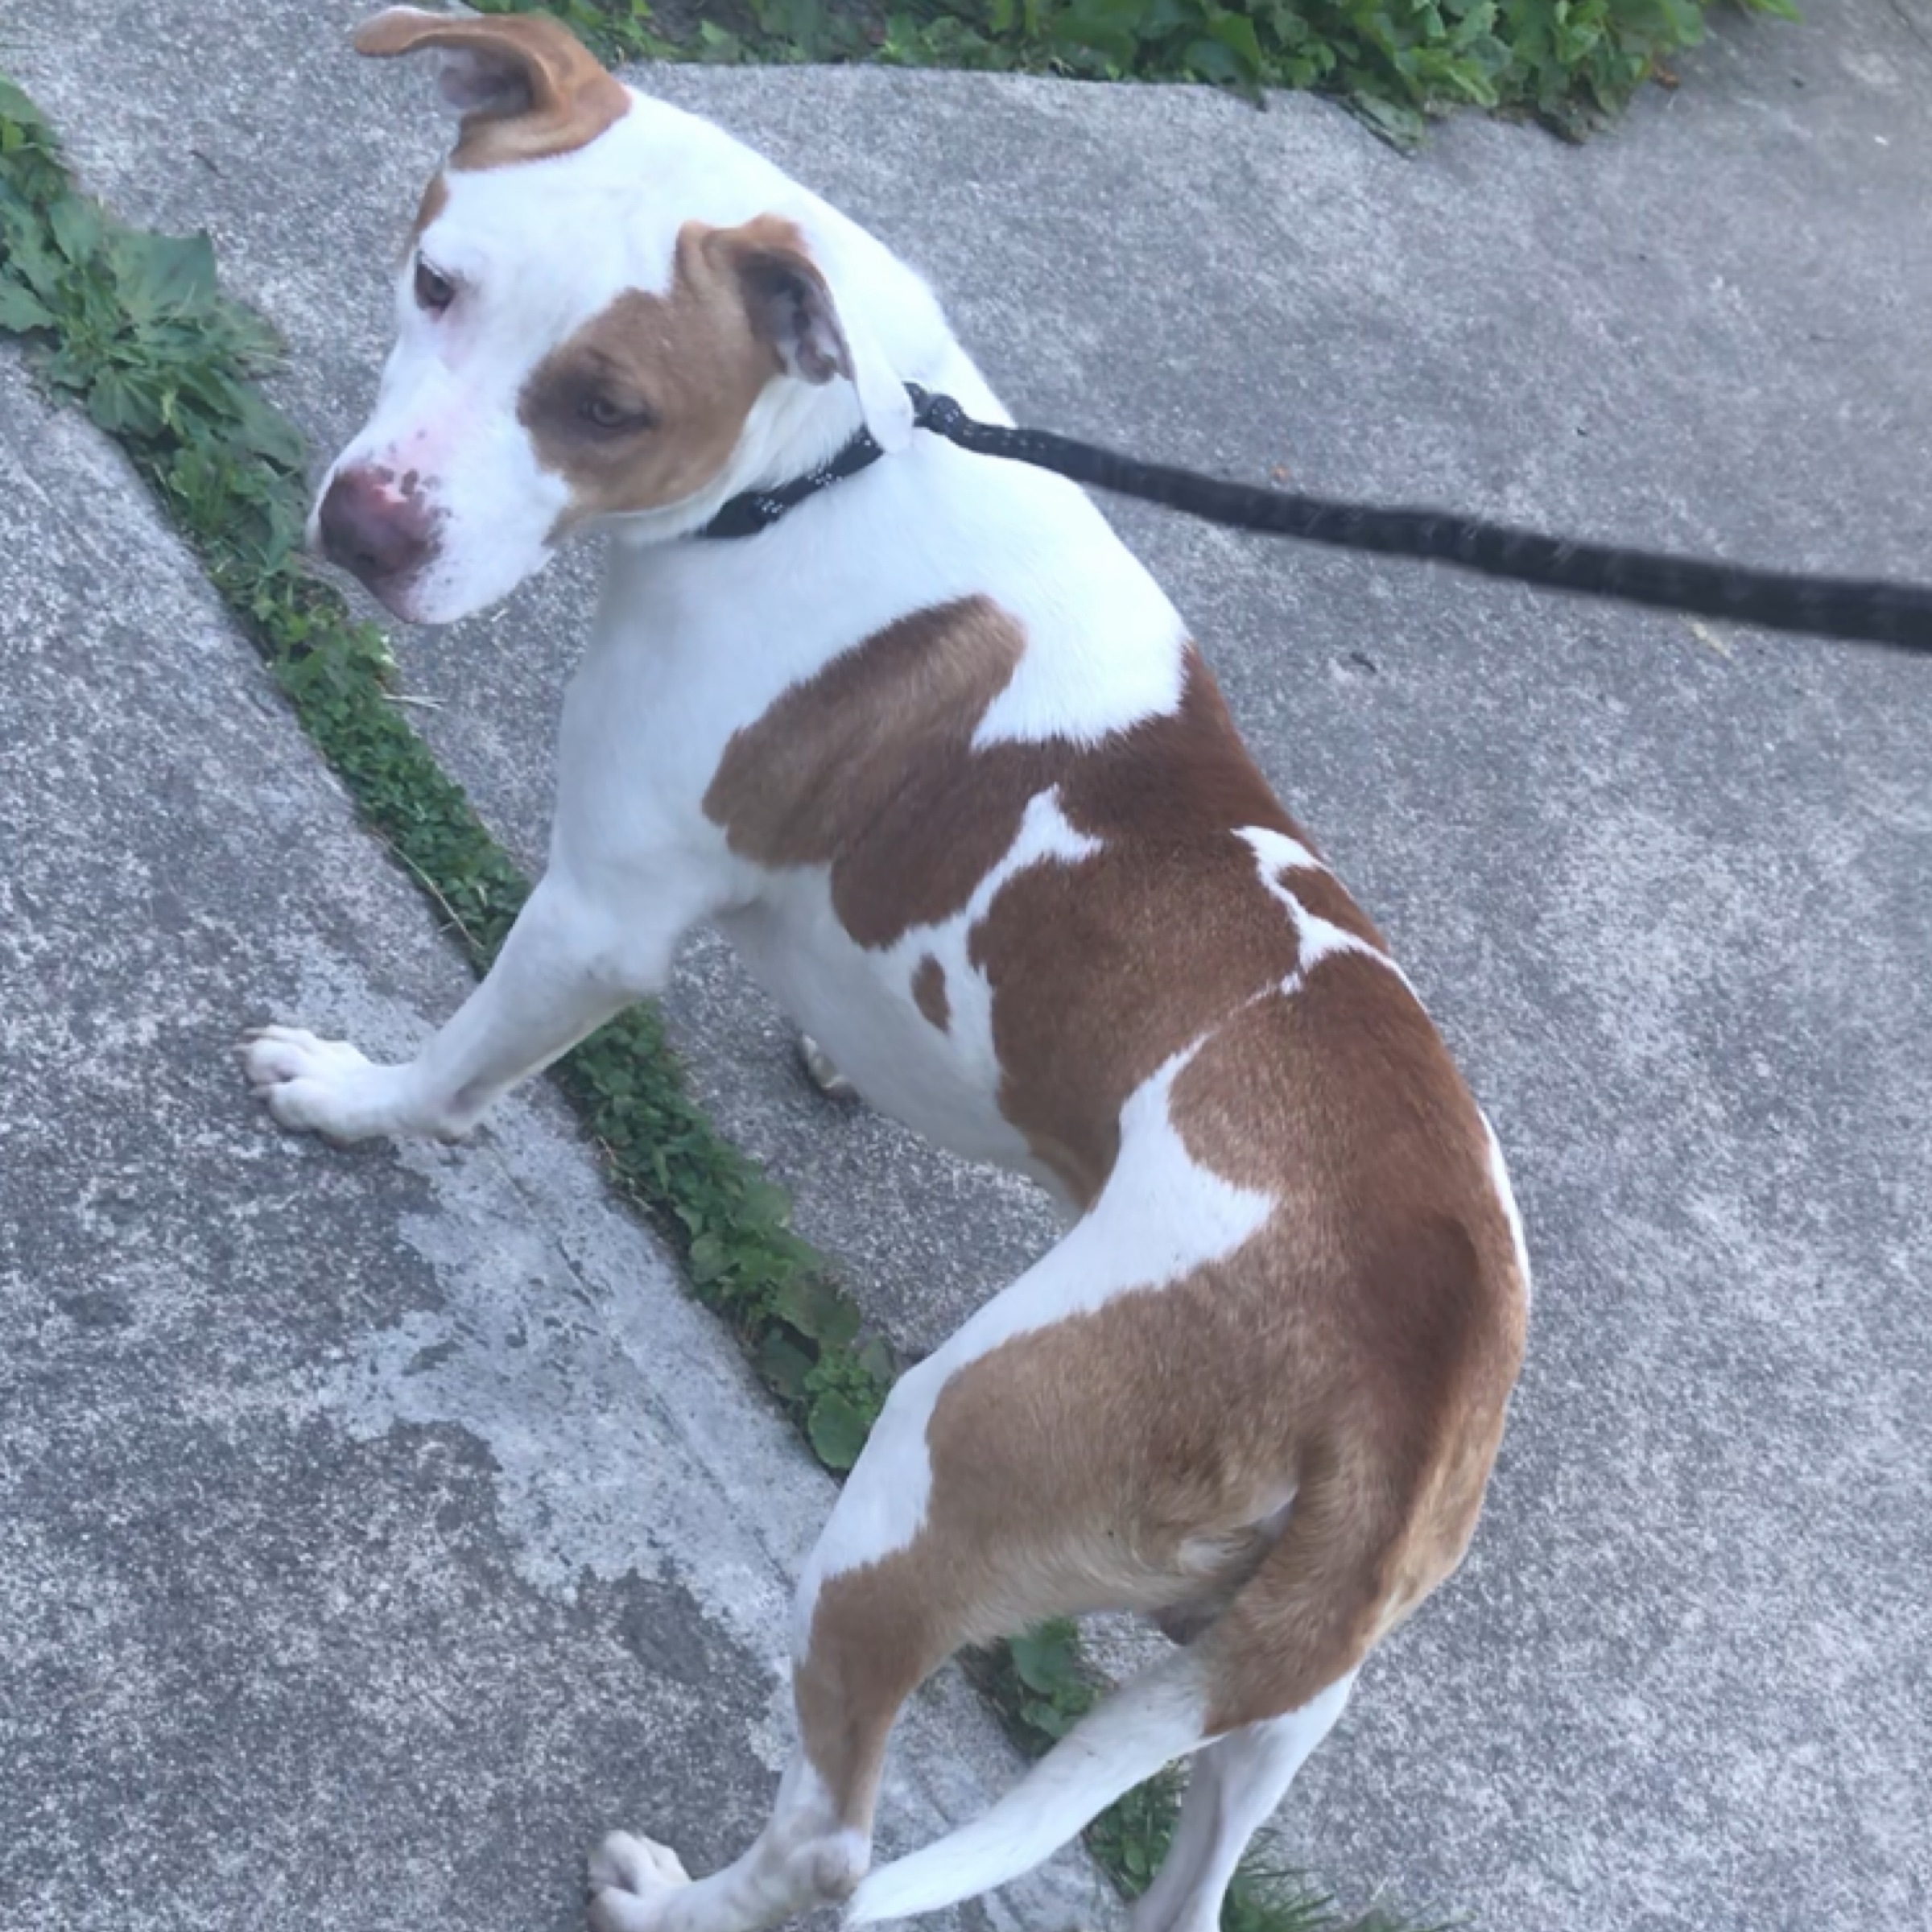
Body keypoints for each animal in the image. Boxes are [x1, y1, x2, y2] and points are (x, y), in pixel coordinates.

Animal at [242, 14, 1530, 1932]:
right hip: (1284, 1688)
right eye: (437, 280)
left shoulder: (598, 910)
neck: (819, 465)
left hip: (919, 1492)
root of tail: (1415, 1363)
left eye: (609, 408)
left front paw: (354, 1097)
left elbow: (462, 1064)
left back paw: (673, 1901)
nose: (367, 529)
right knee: (1201, 1855)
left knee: (832, 1845)